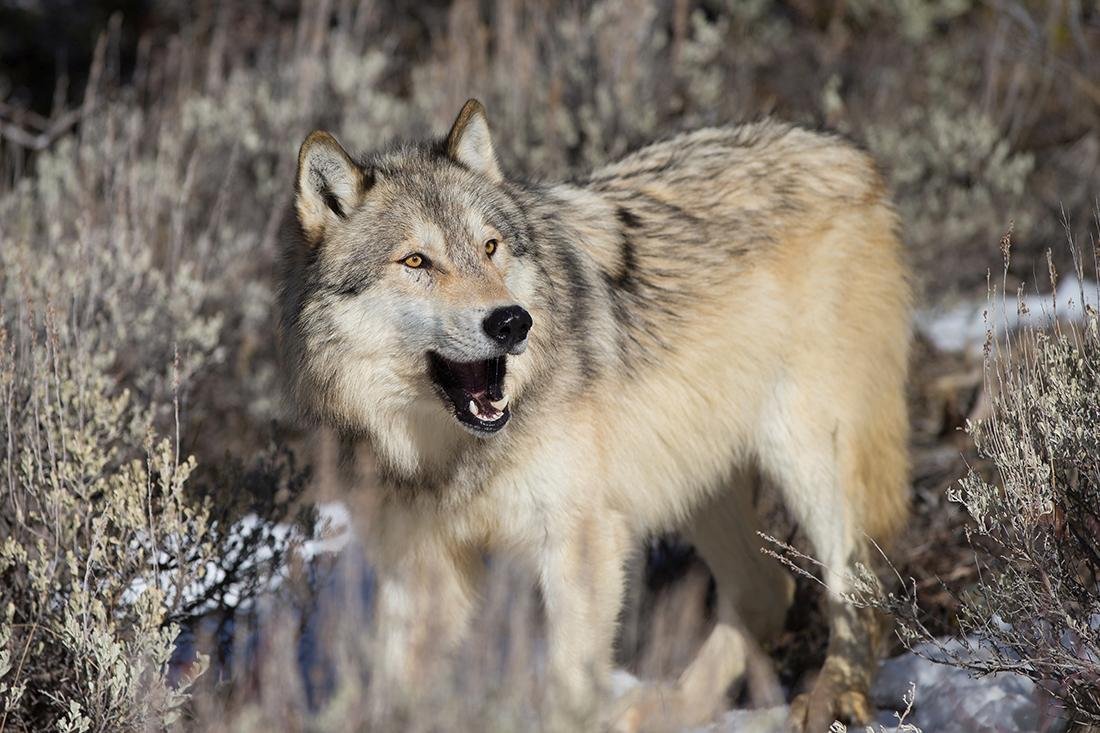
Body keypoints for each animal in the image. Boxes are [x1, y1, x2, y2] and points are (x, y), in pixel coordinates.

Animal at [281, 98, 910, 730]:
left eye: (490, 248)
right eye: (416, 260)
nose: (512, 321)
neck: (452, 454)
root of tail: (850, 154)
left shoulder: (580, 540)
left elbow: (568, 688)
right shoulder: (422, 573)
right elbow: (389, 697)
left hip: (808, 457)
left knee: (857, 589)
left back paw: (834, 700)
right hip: (694, 481)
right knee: (767, 591)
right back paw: (666, 708)